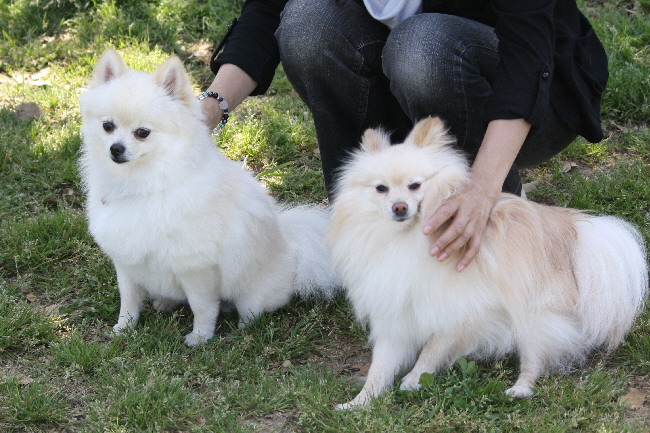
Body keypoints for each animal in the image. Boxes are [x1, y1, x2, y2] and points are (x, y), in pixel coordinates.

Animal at [79, 49, 340, 346]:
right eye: (107, 126)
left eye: (142, 133)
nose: (116, 149)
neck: (144, 183)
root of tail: (290, 245)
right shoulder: (126, 261)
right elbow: (129, 300)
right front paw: (123, 328)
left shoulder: (197, 267)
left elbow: (202, 306)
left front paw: (200, 336)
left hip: (251, 294)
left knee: (250, 307)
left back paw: (243, 324)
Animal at [327, 116, 648, 408]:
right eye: (381, 189)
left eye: (415, 186)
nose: (399, 207)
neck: (405, 238)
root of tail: (573, 233)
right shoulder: (397, 310)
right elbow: (381, 365)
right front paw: (360, 401)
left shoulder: (467, 309)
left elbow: (433, 347)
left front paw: (414, 379)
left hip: (532, 311)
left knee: (535, 357)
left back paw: (520, 389)